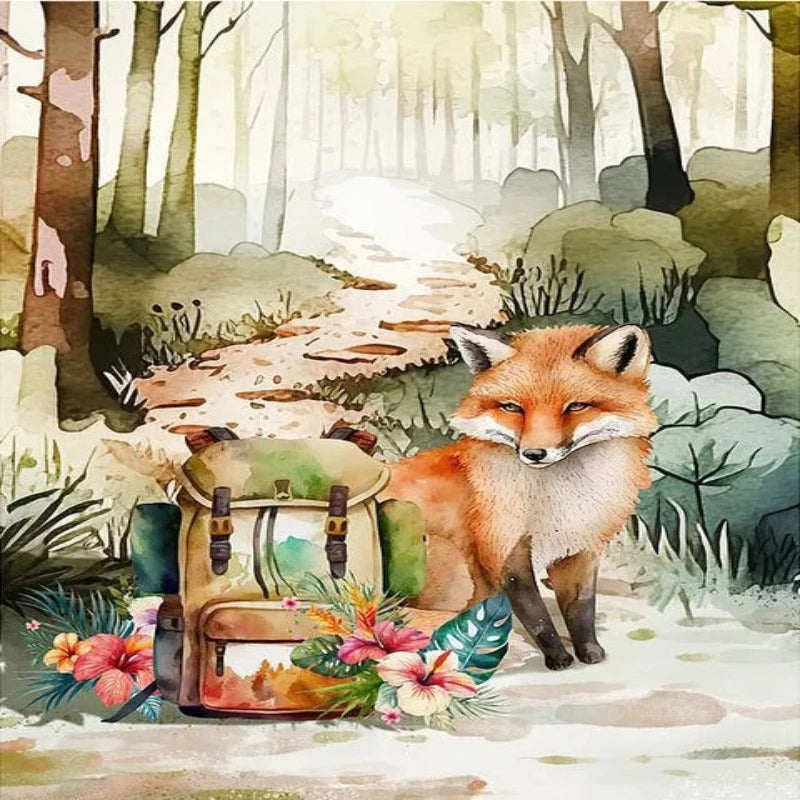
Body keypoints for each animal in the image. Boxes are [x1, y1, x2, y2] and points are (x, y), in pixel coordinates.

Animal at [382, 323, 659, 670]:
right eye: (513, 407)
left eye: (576, 406)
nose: (535, 453)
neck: (563, 499)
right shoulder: (505, 550)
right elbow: (536, 617)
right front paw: (558, 659)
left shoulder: (579, 550)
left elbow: (581, 610)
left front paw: (590, 652)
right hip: (449, 562)